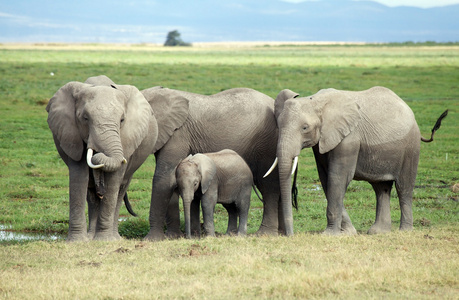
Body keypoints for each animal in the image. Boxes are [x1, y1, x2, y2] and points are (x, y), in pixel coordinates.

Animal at [44, 75, 186, 241]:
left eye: (122, 120)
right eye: (85, 118)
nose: (98, 153)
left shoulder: (126, 138)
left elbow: (114, 179)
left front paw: (104, 240)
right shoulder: (70, 135)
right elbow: (79, 176)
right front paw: (77, 242)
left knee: (120, 190)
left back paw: (113, 237)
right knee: (91, 194)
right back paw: (91, 237)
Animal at [142, 86, 282, 239]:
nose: (187, 236)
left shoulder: (178, 134)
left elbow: (164, 177)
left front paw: (152, 239)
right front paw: (175, 237)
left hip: (268, 142)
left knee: (267, 186)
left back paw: (263, 234)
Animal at [266, 85, 450, 236]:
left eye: (305, 128)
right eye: (278, 126)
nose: (290, 235)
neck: (316, 101)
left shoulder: (349, 138)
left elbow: (338, 178)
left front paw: (330, 234)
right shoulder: (323, 142)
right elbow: (326, 179)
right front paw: (348, 232)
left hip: (410, 147)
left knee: (404, 187)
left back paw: (404, 230)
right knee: (381, 188)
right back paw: (378, 232)